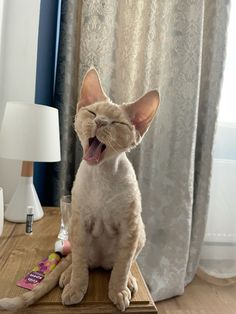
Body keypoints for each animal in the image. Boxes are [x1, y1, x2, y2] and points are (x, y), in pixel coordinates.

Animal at [0, 68, 159, 312]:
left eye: (116, 123)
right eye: (92, 113)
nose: (101, 122)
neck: (102, 175)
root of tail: (101, 263)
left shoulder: (129, 227)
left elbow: (122, 266)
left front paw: (118, 291)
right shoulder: (80, 222)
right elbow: (81, 264)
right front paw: (75, 288)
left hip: (140, 232)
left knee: (125, 263)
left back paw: (130, 281)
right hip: (76, 230)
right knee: (76, 259)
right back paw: (67, 275)